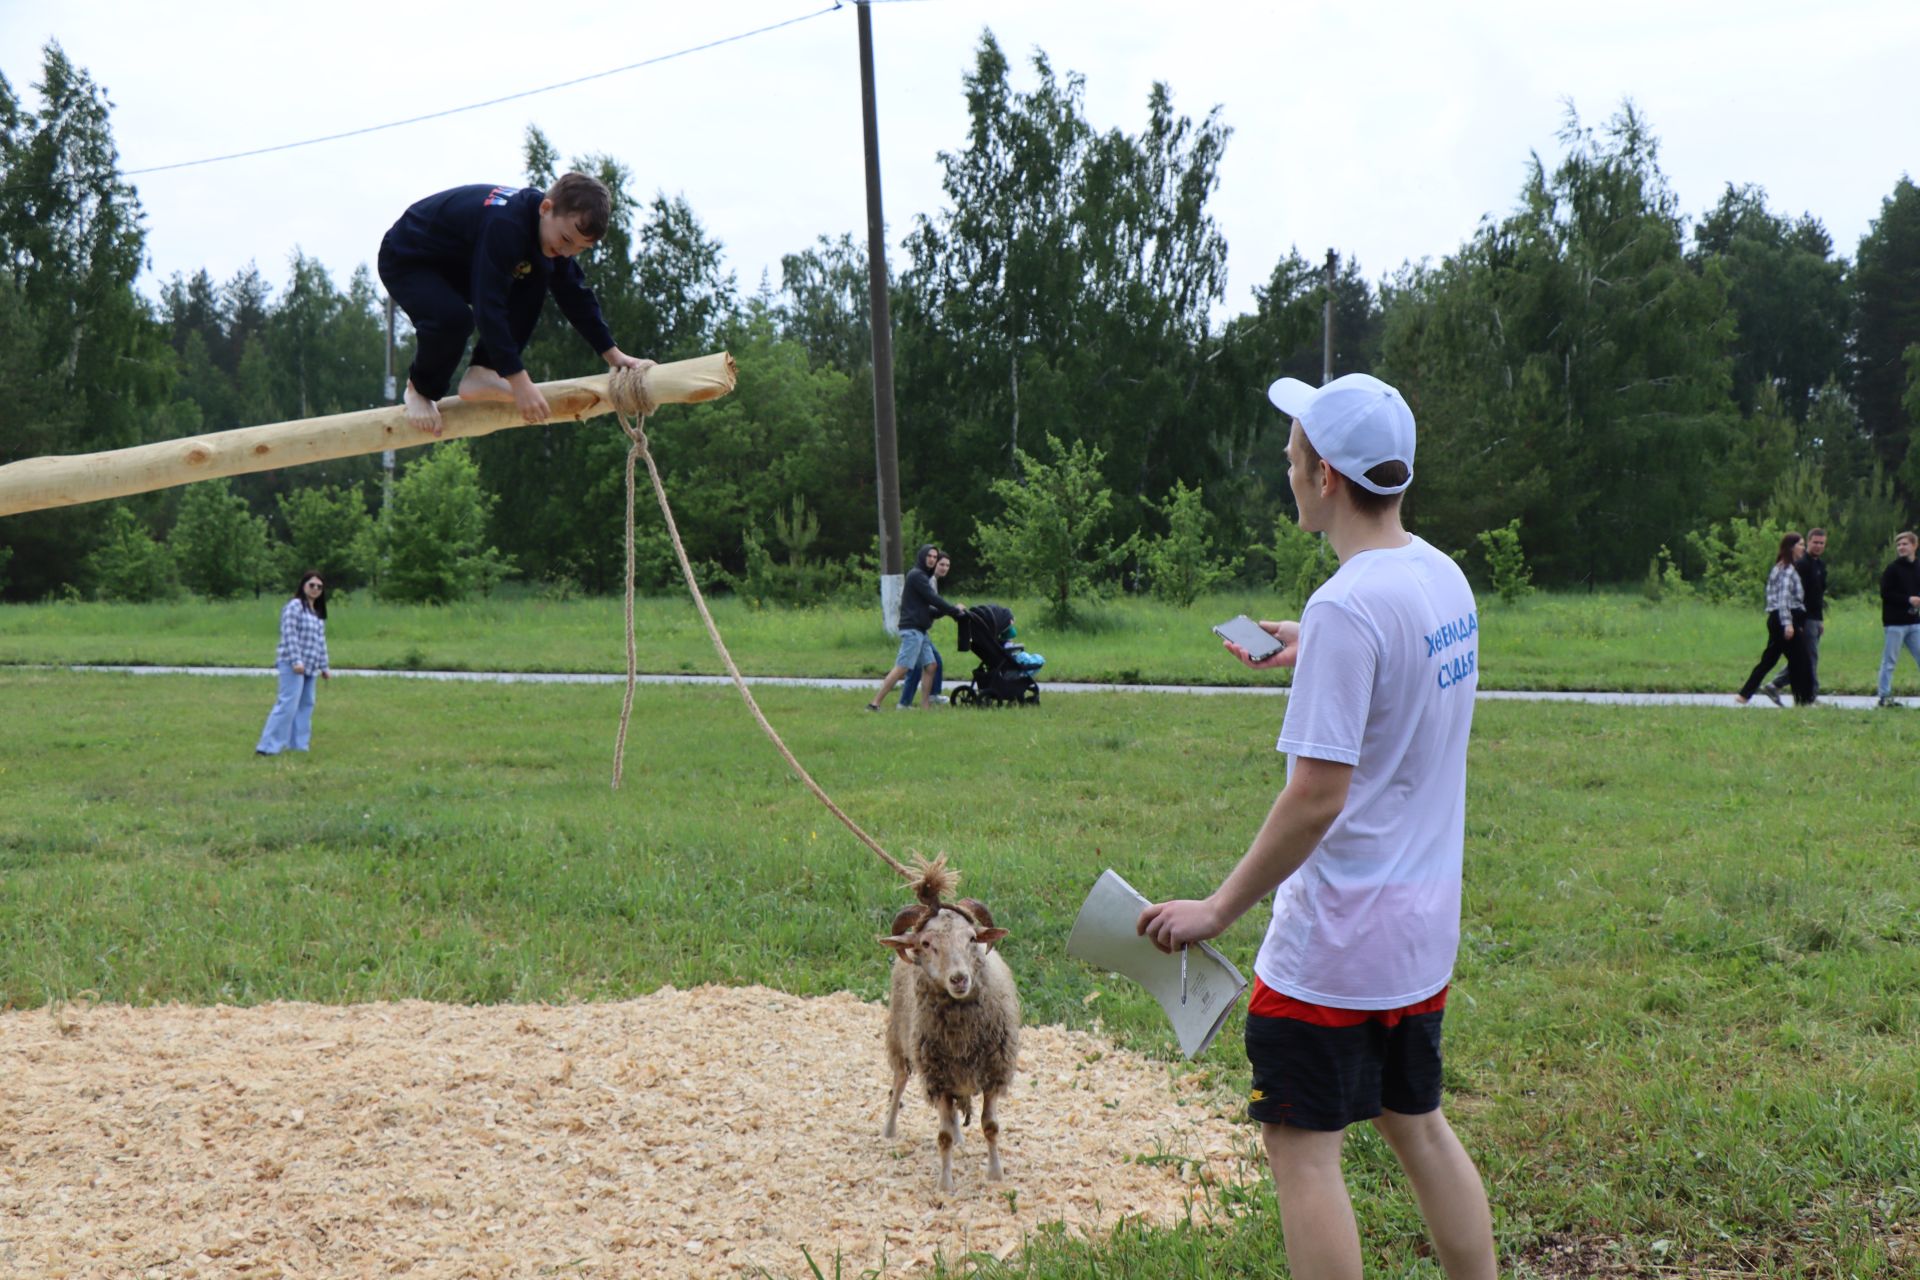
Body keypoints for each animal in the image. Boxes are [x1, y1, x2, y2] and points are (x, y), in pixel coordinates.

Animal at [879, 859, 1021, 1205]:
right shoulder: (937, 1078)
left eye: (972, 938)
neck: (962, 1034)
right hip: (901, 1040)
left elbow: (990, 1127)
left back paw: (959, 1136)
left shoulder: (993, 1073)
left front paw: (995, 1174)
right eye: (927, 944)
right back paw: (889, 1129)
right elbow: (941, 1136)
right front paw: (945, 1185)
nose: (959, 979)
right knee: (898, 1082)